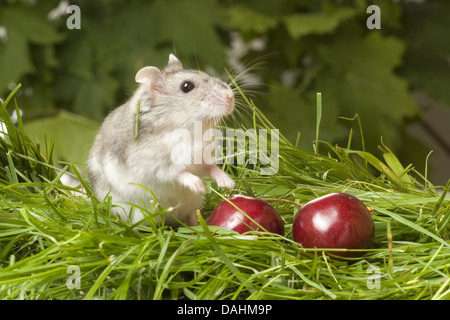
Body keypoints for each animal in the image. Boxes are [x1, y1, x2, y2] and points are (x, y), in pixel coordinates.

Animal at [88, 53, 236, 226]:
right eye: (187, 86)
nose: (230, 97)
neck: (190, 130)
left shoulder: (203, 158)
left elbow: (211, 168)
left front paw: (228, 183)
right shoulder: (156, 166)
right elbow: (179, 173)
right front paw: (200, 186)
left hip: (191, 204)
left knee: (190, 215)